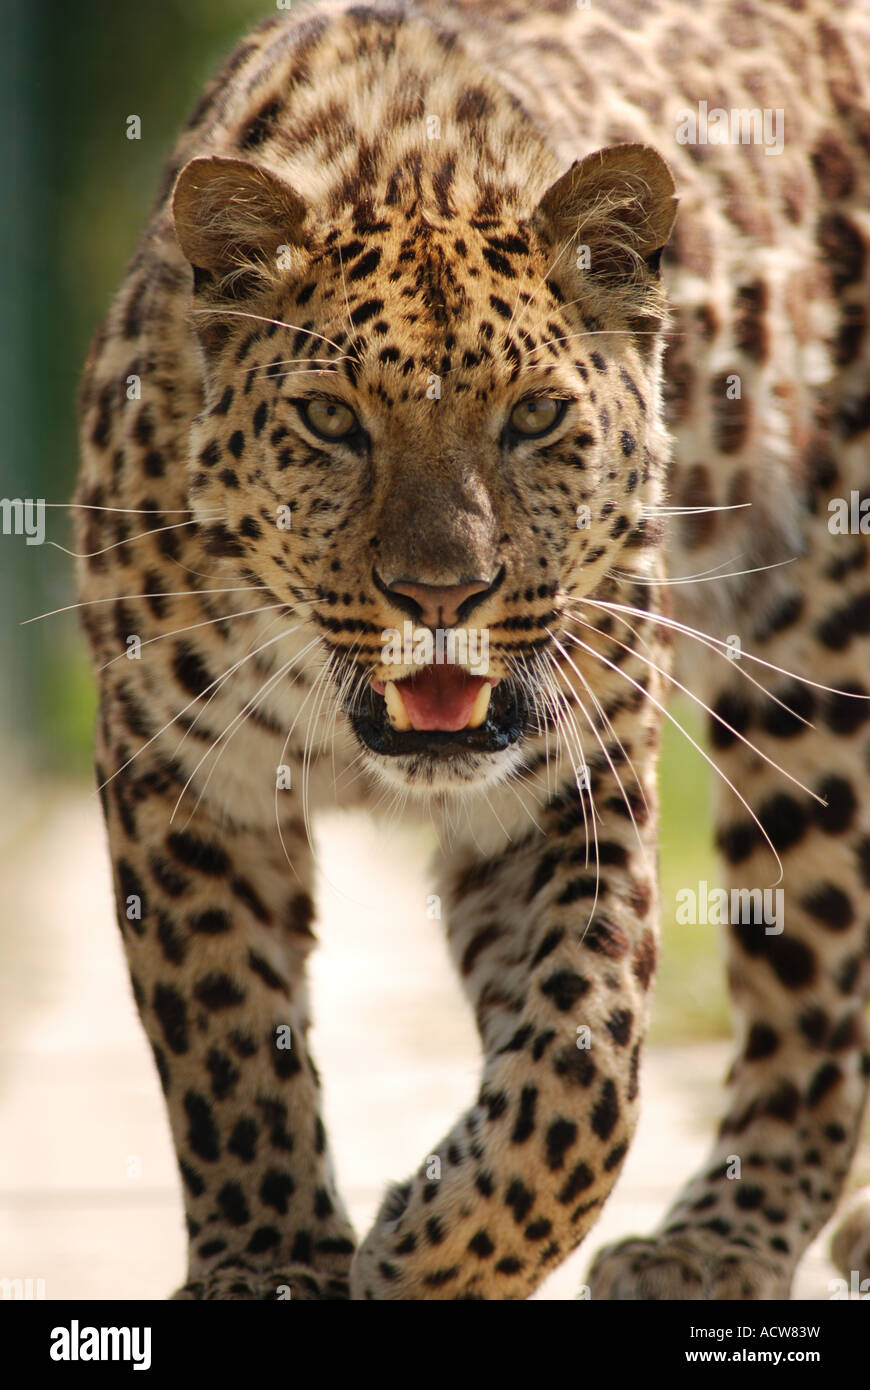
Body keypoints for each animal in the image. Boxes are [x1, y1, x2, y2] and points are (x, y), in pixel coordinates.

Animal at [72, 2, 867, 1301]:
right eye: (330, 420)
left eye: (534, 417)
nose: (441, 593)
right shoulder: (182, 778)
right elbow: (226, 1035)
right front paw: (270, 1259)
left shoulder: (572, 781)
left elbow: (585, 1068)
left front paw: (426, 1252)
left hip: (819, 667)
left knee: (817, 992)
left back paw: (713, 1246)